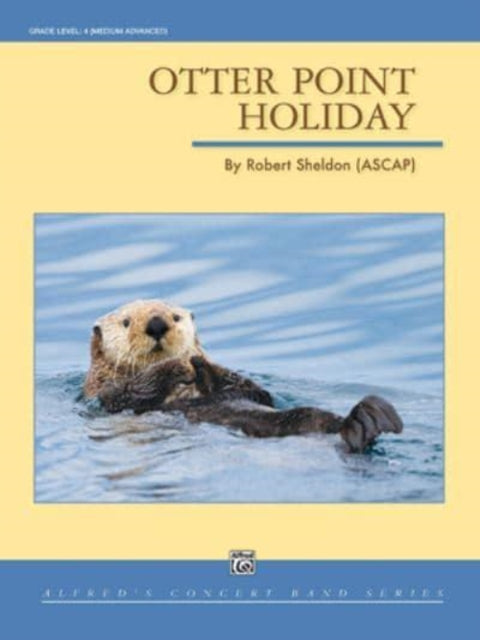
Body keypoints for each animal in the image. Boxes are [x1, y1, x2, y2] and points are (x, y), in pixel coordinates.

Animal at [84, 299, 403, 453]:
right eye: (126, 322)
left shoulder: (252, 390)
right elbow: (132, 391)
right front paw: (178, 365)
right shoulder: (106, 394)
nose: (157, 324)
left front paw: (200, 363)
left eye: (175, 317)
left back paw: (372, 419)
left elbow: (255, 391)